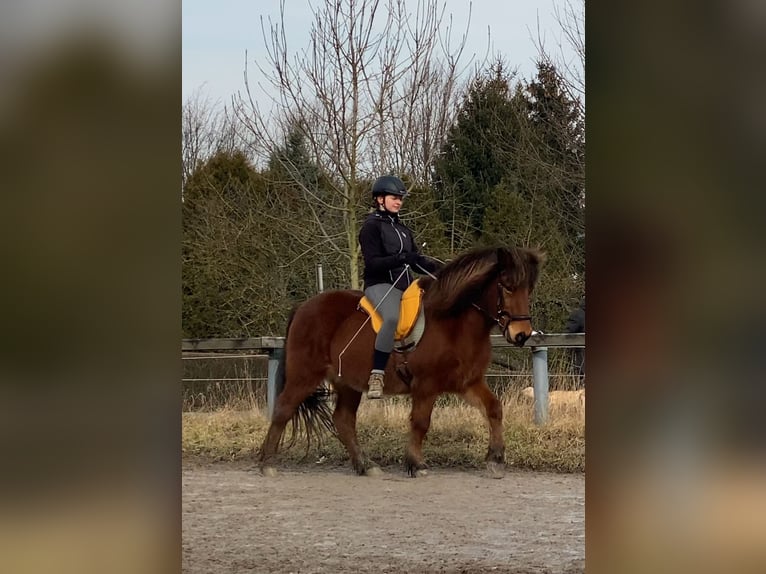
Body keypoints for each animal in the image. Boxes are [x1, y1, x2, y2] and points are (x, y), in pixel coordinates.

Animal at [260, 246, 544, 476]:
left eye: (528, 289)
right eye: (507, 286)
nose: (521, 334)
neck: (453, 323)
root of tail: (303, 307)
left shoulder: (468, 382)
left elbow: (494, 409)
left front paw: (495, 459)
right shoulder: (426, 385)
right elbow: (421, 422)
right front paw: (417, 464)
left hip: (347, 383)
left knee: (343, 420)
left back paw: (366, 465)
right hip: (304, 375)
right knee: (283, 409)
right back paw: (268, 463)